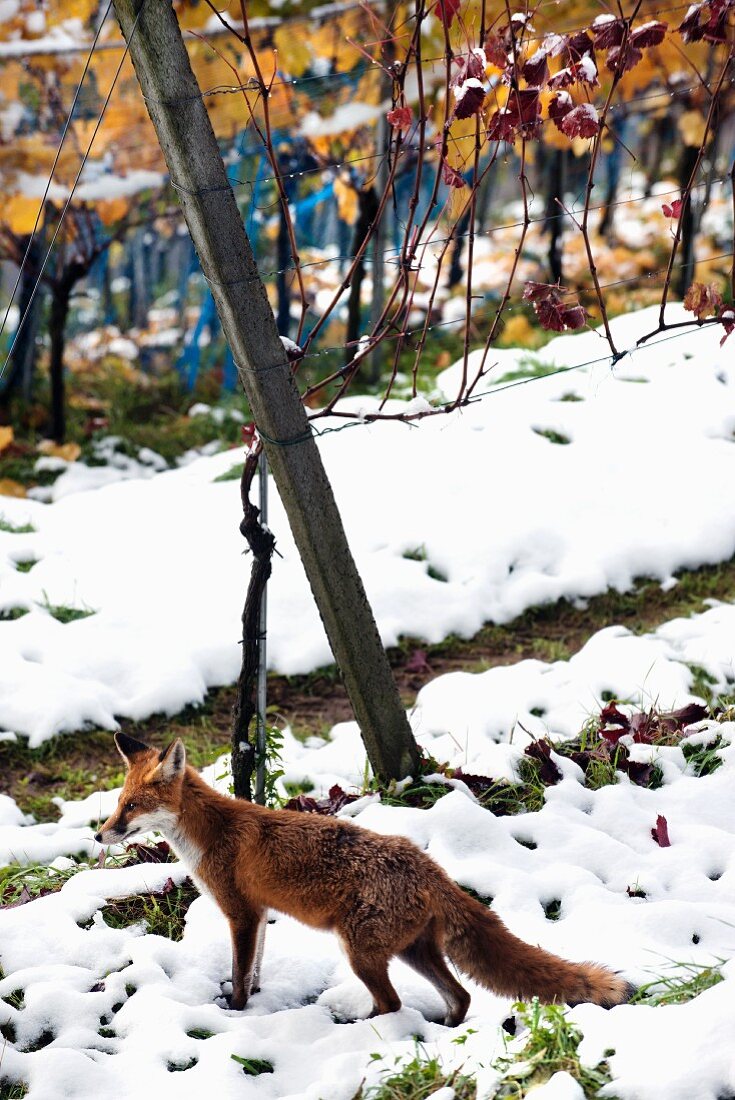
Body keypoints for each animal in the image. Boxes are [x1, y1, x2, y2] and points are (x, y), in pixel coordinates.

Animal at [94, 730, 633, 1020]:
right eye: (119, 804)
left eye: (132, 807)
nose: (100, 835)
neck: (210, 833)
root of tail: (429, 867)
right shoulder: (259, 914)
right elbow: (257, 968)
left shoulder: (241, 913)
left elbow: (242, 975)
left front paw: (240, 1014)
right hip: (412, 951)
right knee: (459, 995)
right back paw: (445, 1029)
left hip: (360, 952)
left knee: (393, 1004)